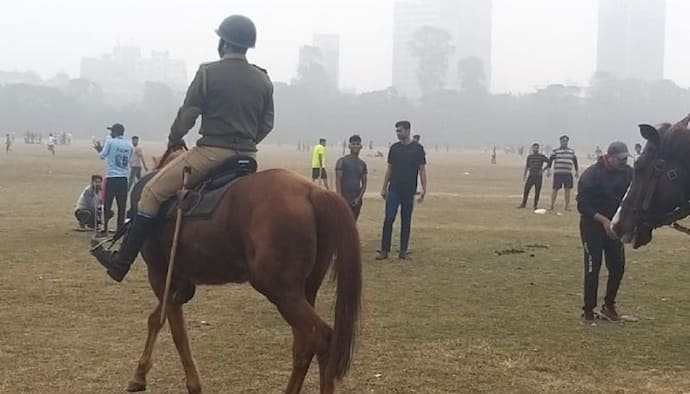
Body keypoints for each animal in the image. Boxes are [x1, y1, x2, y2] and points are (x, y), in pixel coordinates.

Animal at [121, 146, 362, 392]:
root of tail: (313, 192)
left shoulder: (160, 275)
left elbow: (177, 332)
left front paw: (192, 385)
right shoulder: (178, 283)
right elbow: (157, 319)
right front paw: (139, 375)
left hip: (281, 292)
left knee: (322, 339)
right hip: (306, 288)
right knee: (304, 344)